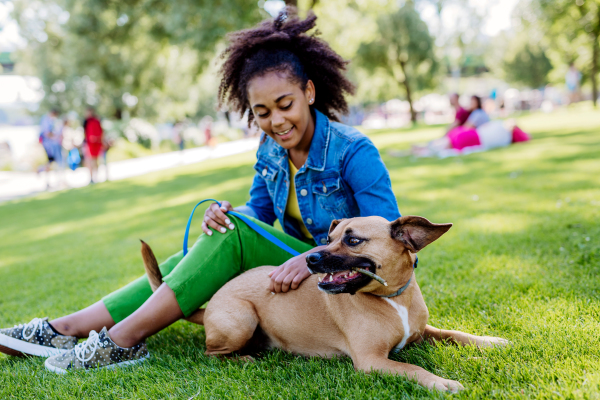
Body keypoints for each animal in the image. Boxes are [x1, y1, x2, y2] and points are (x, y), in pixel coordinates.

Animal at [143, 216, 508, 390]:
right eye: (327, 238)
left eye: (353, 240)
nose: (311, 258)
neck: (392, 299)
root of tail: (211, 303)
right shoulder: (372, 361)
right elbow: (413, 368)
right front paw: (440, 382)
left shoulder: (424, 331)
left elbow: (454, 334)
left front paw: (489, 342)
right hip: (240, 320)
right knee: (211, 354)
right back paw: (244, 359)